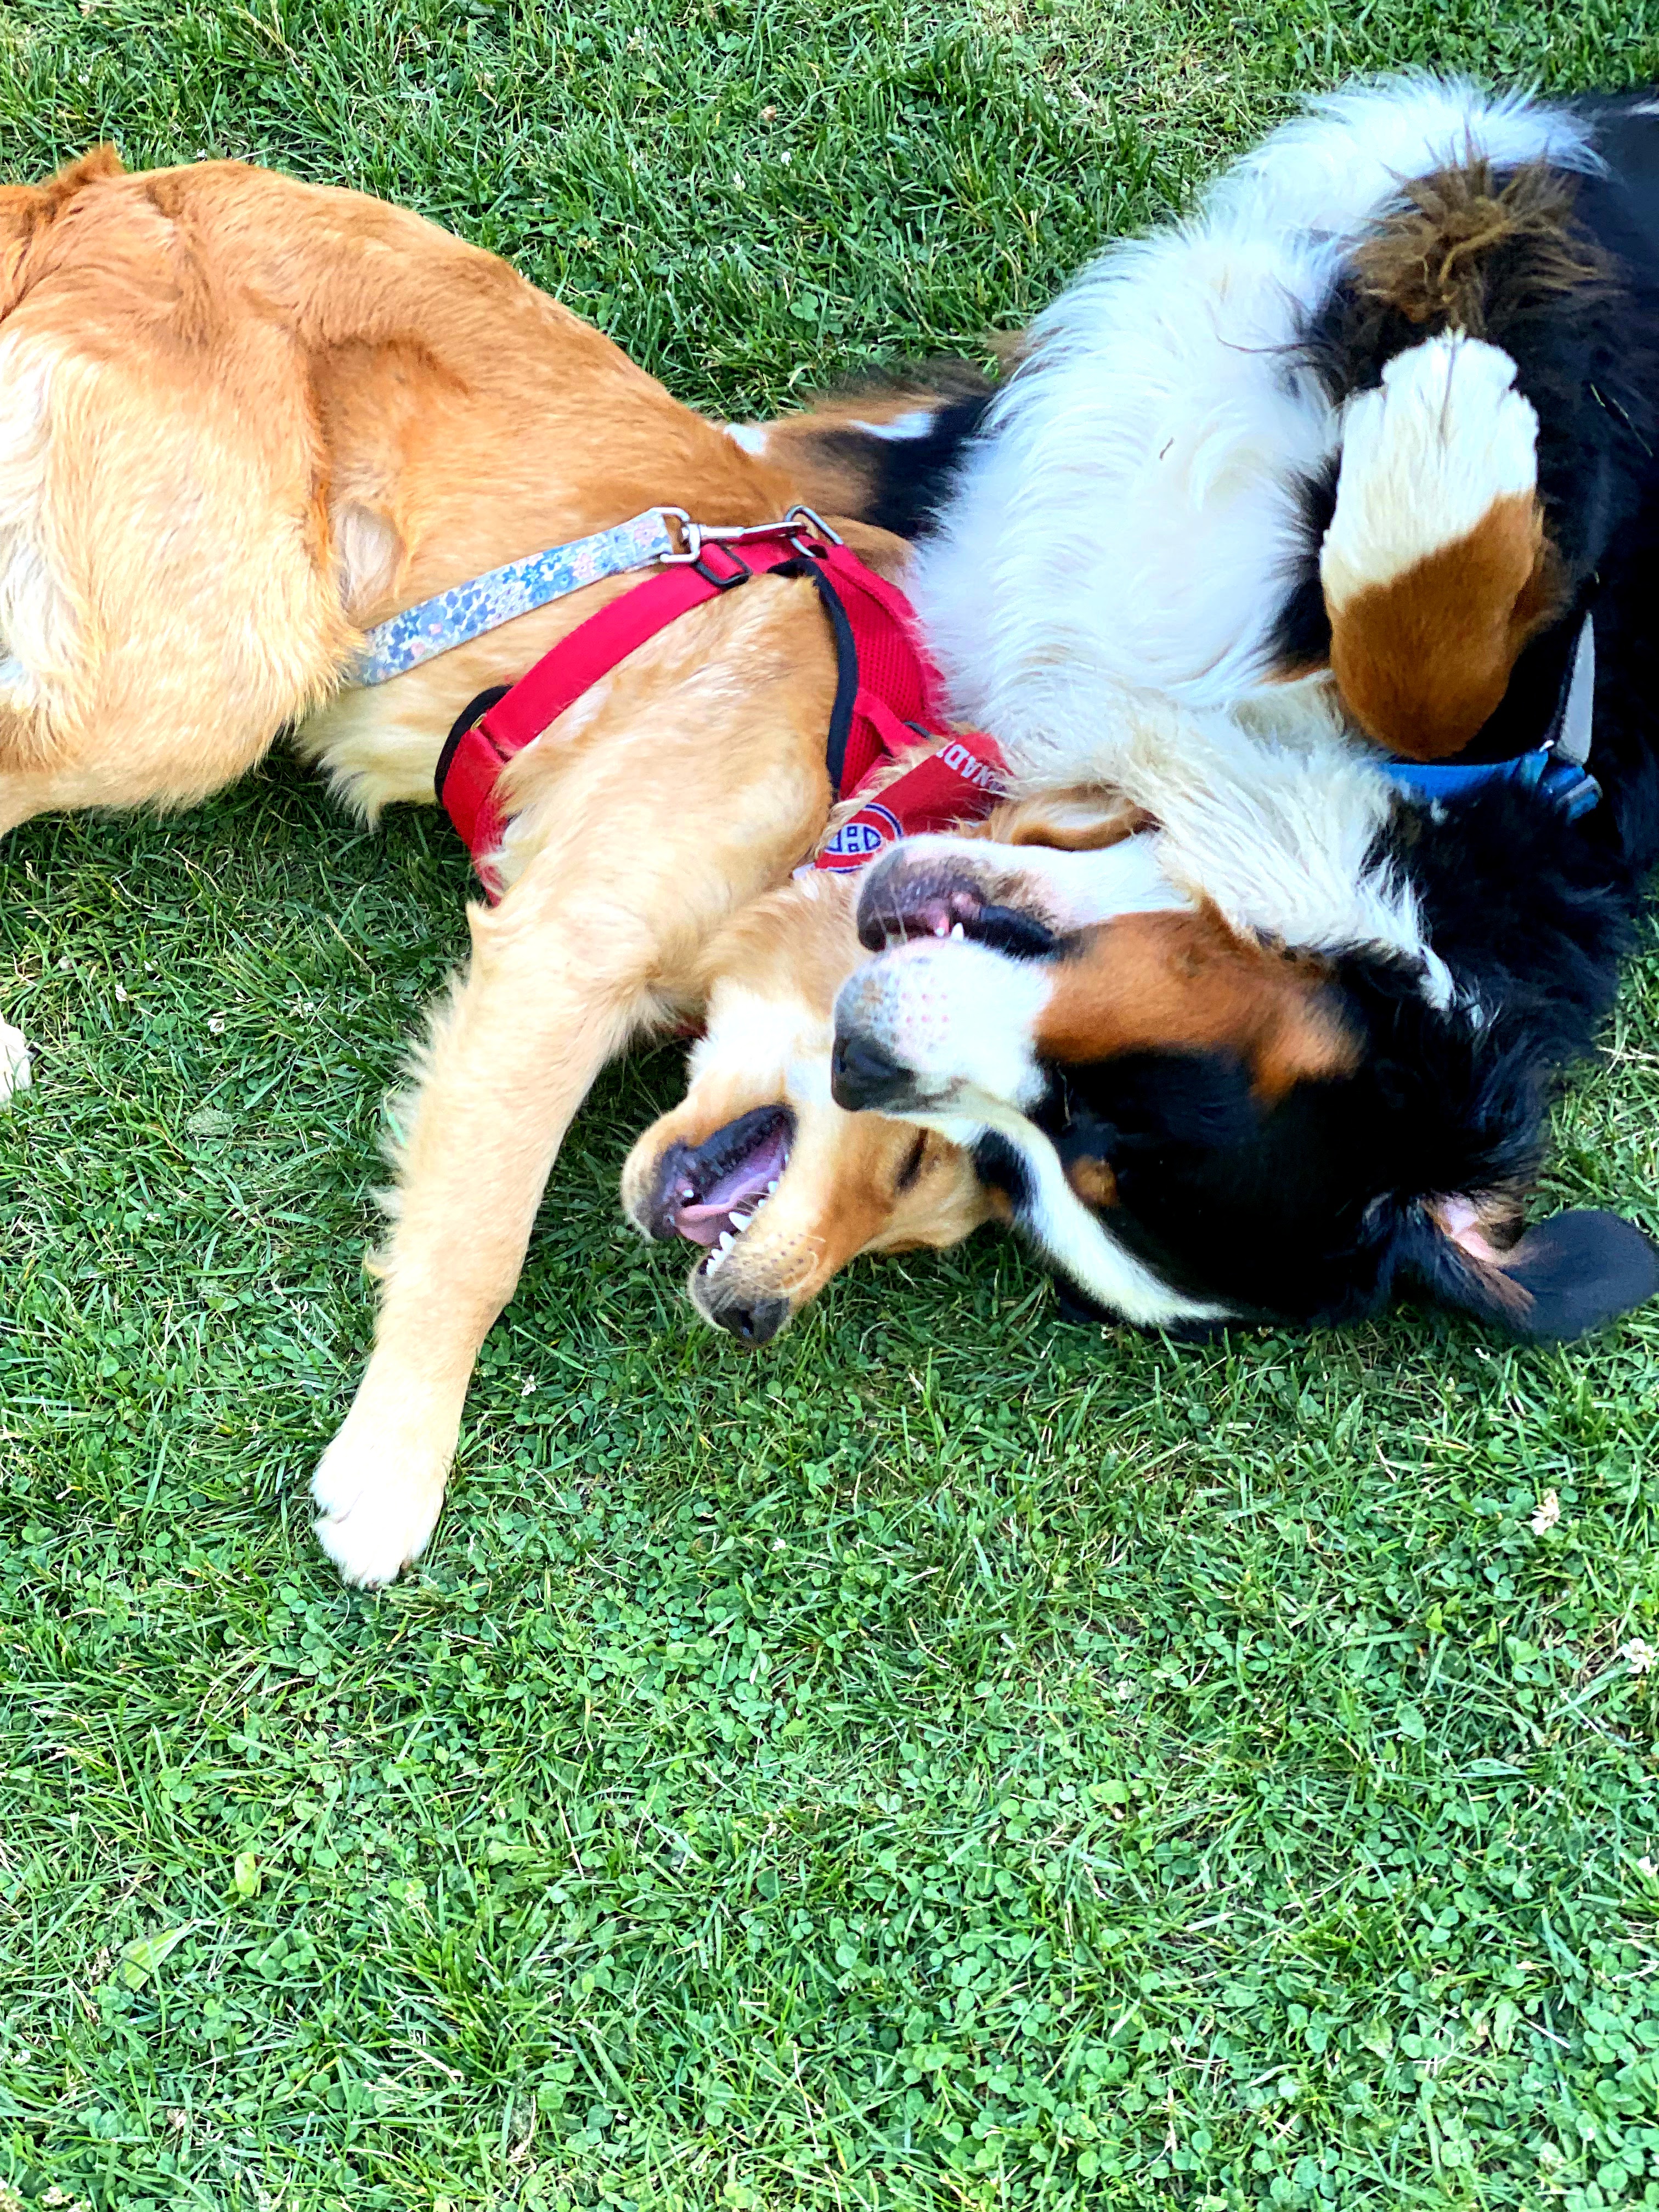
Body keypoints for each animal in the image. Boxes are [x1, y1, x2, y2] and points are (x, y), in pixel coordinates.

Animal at [0, 147, 938, 1583]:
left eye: (920, 1222)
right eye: (919, 1159)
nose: (757, 1324)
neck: (867, 778)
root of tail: (100, 196)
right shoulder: (557, 955)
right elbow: (479, 1240)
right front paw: (395, 1469)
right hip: (212, 680)